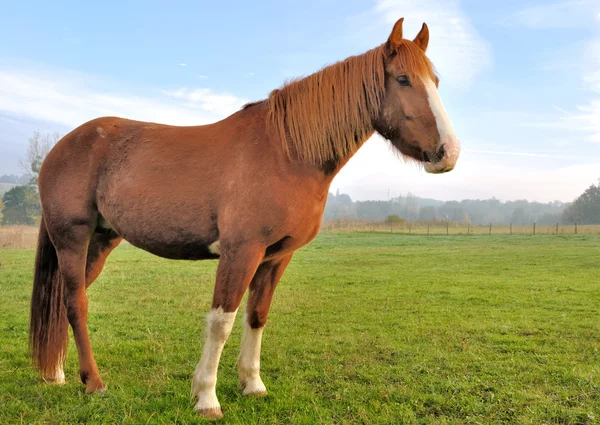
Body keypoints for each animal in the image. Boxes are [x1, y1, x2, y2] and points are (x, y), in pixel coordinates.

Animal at [29, 17, 460, 418]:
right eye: (403, 79)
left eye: (437, 80)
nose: (449, 152)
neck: (286, 152)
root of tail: (62, 146)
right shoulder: (241, 251)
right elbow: (222, 321)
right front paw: (206, 397)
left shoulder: (276, 256)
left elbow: (256, 316)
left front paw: (252, 384)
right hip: (72, 238)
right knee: (76, 303)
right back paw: (94, 382)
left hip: (102, 240)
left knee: (67, 300)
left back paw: (58, 373)